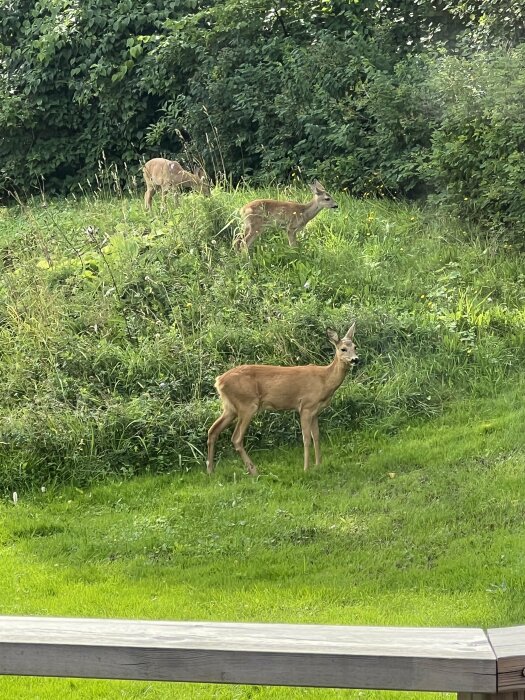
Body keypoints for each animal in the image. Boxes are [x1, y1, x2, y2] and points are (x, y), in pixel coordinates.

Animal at [207, 322, 358, 476]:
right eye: (343, 349)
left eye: (355, 347)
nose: (356, 359)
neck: (325, 380)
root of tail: (219, 381)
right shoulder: (306, 406)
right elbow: (306, 439)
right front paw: (306, 468)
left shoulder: (315, 411)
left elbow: (316, 436)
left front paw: (318, 465)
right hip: (247, 405)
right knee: (236, 438)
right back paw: (254, 471)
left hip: (230, 408)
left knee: (213, 430)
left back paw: (211, 470)